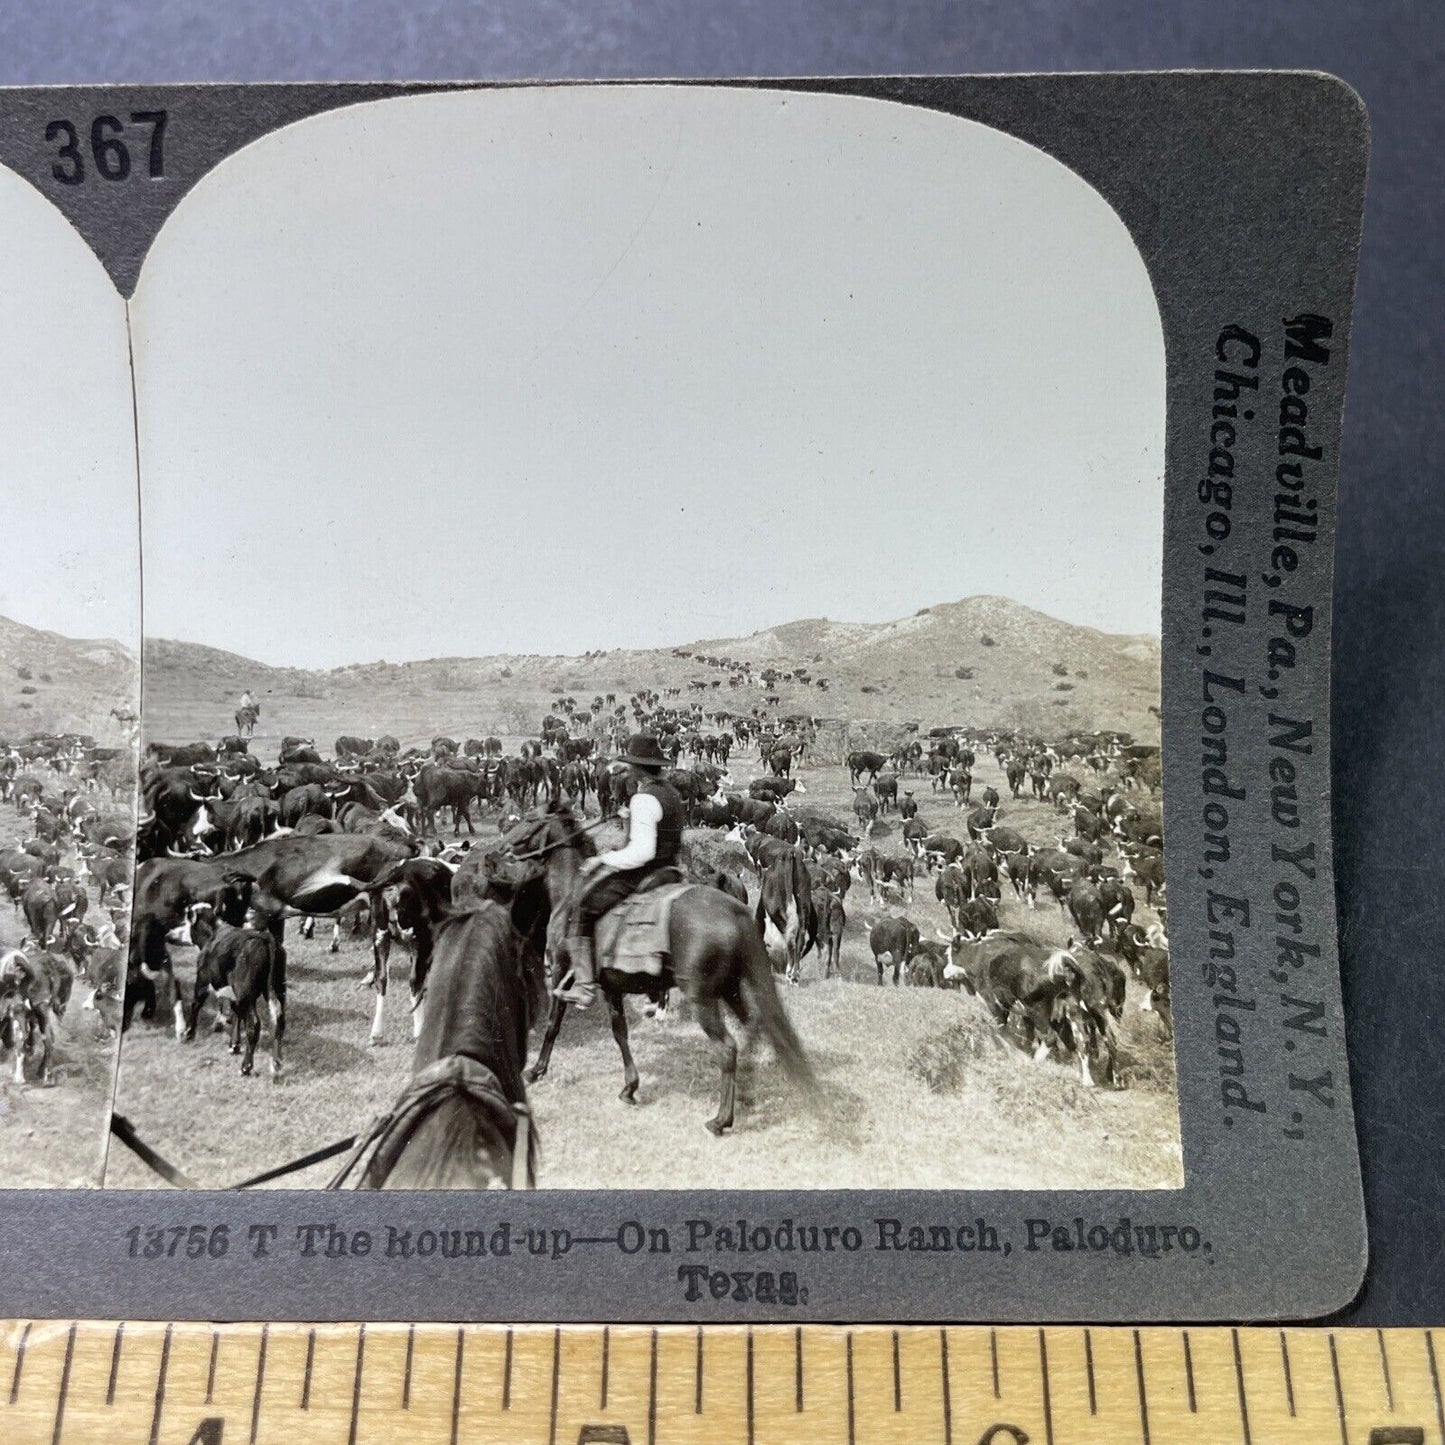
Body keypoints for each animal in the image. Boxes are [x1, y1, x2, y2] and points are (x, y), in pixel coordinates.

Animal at [494, 803, 814, 1127]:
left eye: (529, 820)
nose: (499, 849)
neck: (571, 894)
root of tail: (734, 914)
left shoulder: (563, 973)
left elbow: (553, 1024)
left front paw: (536, 1070)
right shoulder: (611, 987)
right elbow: (619, 1032)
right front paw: (629, 1087)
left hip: (703, 998)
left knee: (727, 1048)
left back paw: (721, 1119)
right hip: (730, 989)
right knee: (754, 1027)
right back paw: (745, 1093)